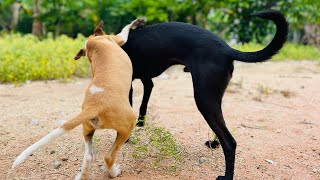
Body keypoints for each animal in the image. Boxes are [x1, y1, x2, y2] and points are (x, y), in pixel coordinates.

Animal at [10, 19, 144, 179]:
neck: (93, 43)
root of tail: (93, 106)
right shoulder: (117, 38)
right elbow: (126, 29)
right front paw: (136, 22)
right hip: (127, 125)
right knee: (108, 157)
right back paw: (114, 172)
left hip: (87, 131)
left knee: (88, 157)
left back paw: (82, 175)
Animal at [122, 9, 288, 179]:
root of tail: (227, 48)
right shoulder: (147, 81)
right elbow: (143, 104)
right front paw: (140, 123)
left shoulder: (130, 86)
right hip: (213, 97)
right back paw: (214, 143)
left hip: (204, 100)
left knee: (230, 142)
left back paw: (227, 176)